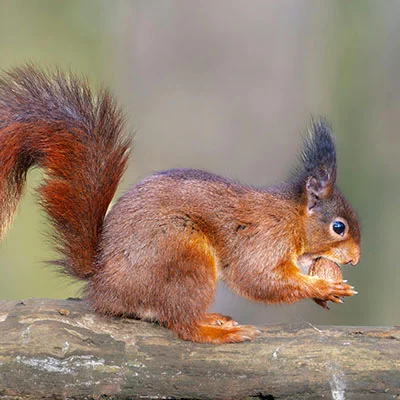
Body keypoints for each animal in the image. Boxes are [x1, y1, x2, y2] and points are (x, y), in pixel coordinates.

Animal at [0, 65, 360, 344]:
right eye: (338, 227)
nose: (355, 260)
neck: (290, 218)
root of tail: (104, 283)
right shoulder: (263, 240)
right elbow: (258, 279)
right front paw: (324, 286)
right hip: (185, 254)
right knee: (183, 324)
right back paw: (217, 332)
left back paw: (212, 319)